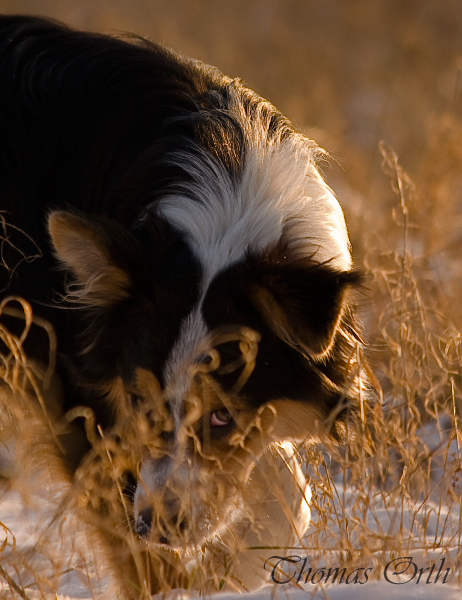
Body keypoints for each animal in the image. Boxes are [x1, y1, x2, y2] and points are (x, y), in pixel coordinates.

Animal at [0, 15, 366, 600]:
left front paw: (227, 568)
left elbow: (289, 497)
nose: (158, 527)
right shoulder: (68, 377)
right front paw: (184, 580)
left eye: (221, 416)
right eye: (139, 400)